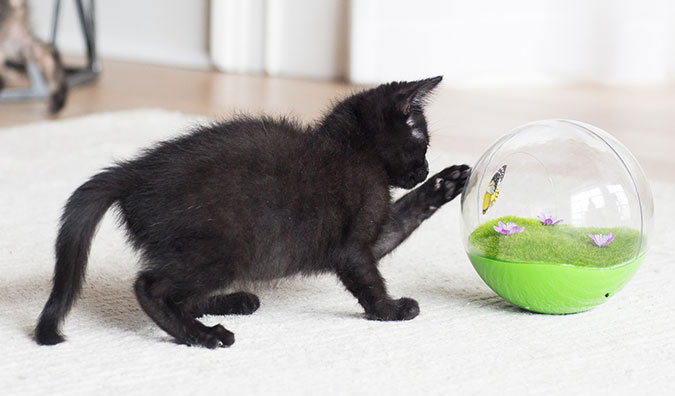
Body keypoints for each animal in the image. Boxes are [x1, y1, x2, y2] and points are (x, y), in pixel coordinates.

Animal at [35, 76, 470, 348]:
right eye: (423, 143)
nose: (425, 169)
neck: (353, 151)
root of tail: (135, 171)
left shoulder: (373, 235)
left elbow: (405, 216)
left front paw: (447, 183)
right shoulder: (351, 246)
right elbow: (368, 280)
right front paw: (390, 310)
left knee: (181, 294)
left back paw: (233, 302)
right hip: (223, 247)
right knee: (151, 287)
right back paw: (203, 335)